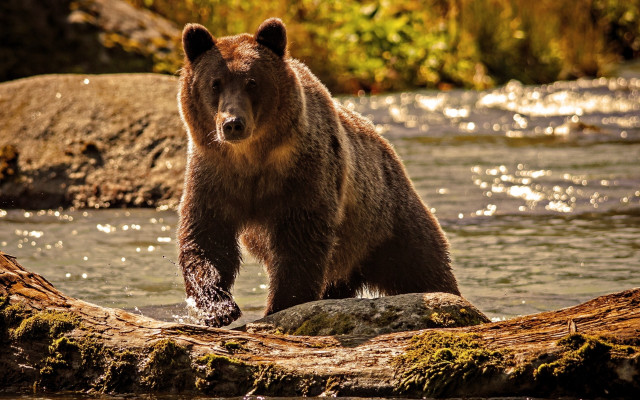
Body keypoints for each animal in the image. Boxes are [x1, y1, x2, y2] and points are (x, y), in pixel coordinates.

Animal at [177, 18, 460, 327]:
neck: (252, 158)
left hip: (386, 220)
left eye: (252, 82)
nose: (232, 123)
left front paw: (280, 305)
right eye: (214, 83)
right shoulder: (214, 174)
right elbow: (207, 236)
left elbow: (301, 242)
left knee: (423, 265)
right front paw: (217, 307)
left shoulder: (304, 174)